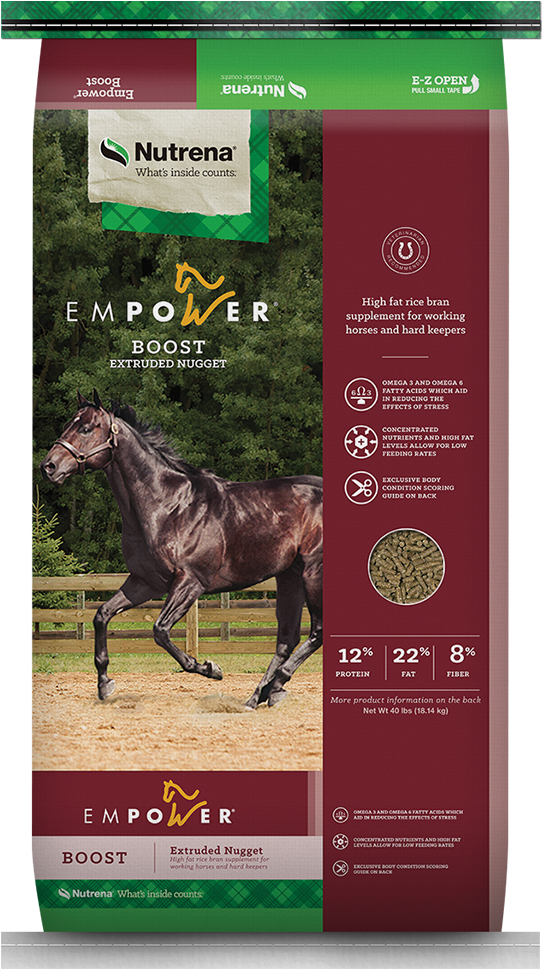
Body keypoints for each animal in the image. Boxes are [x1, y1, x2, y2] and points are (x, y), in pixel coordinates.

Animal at [40, 391, 323, 708]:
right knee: (287, 638)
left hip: (313, 573)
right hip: (288, 576)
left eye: (86, 428)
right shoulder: (145, 583)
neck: (168, 506)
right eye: (68, 425)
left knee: (316, 631)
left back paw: (275, 685)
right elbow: (102, 615)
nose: (48, 467)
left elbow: (160, 631)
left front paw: (210, 668)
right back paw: (260, 694)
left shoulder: (190, 583)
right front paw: (104, 684)